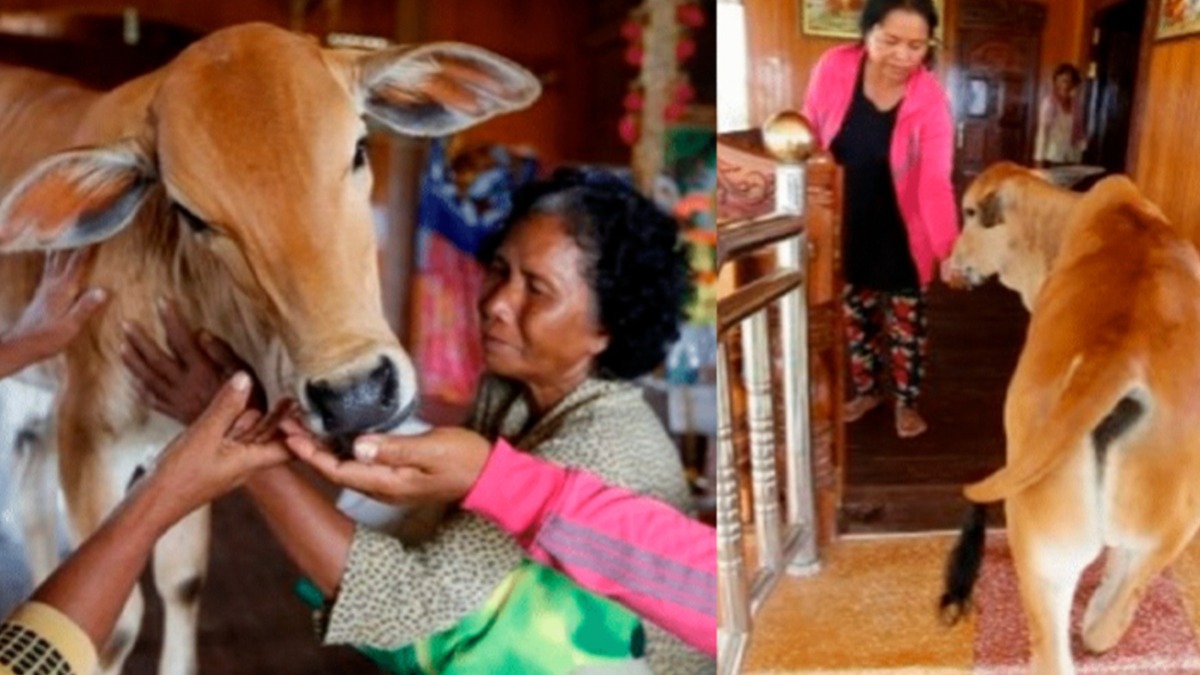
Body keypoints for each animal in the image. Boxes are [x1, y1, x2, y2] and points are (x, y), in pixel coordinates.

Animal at [936, 172, 1200, 672]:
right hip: (1175, 520)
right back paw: (1100, 618)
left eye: (967, 214)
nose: (949, 264)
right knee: (1124, 594)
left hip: (1042, 554)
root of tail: (1117, 360)